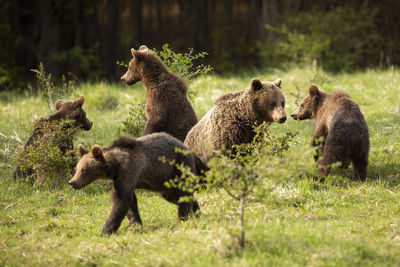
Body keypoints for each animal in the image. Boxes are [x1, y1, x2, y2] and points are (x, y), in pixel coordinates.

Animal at [69, 133, 202, 237]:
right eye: (77, 168)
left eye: (84, 170)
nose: (72, 182)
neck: (116, 166)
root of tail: (187, 148)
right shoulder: (122, 179)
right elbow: (130, 202)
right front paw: (135, 224)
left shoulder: (130, 170)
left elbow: (121, 200)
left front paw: (105, 231)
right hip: (164, 182)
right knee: (174, 196)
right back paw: (196, 211)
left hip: (179, 166)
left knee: (182, 194)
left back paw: (183, 217)